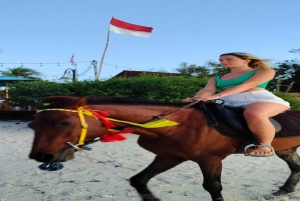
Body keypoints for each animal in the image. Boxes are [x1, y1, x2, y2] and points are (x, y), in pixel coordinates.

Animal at [28, 96, 300, 201]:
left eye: (64, 122)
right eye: (32, 124)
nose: (42, 156)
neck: (174, 124)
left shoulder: (210, 160)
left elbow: (213, 188)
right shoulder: (169, 156)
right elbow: (139, 180)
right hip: (286, 149)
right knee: (295, 167)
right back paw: (284, 190)